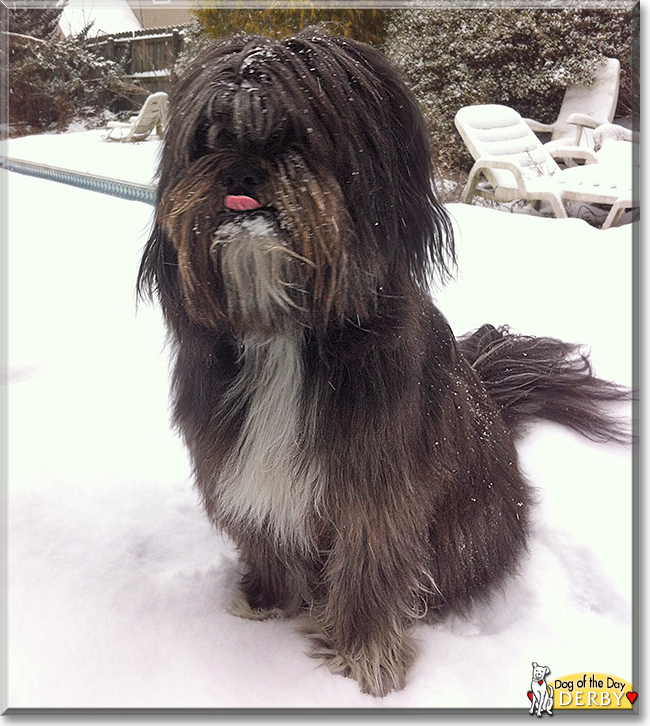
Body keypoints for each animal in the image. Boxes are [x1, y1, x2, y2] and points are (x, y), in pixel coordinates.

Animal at [138, 29, 628, 700]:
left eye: (295, 133)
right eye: (210, 137)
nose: (239, 170)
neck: (287, 327)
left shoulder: (378, 487)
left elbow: (370, 565)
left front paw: (367, 654)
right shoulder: (239, 465)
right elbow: (265, 534)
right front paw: (267, 598)